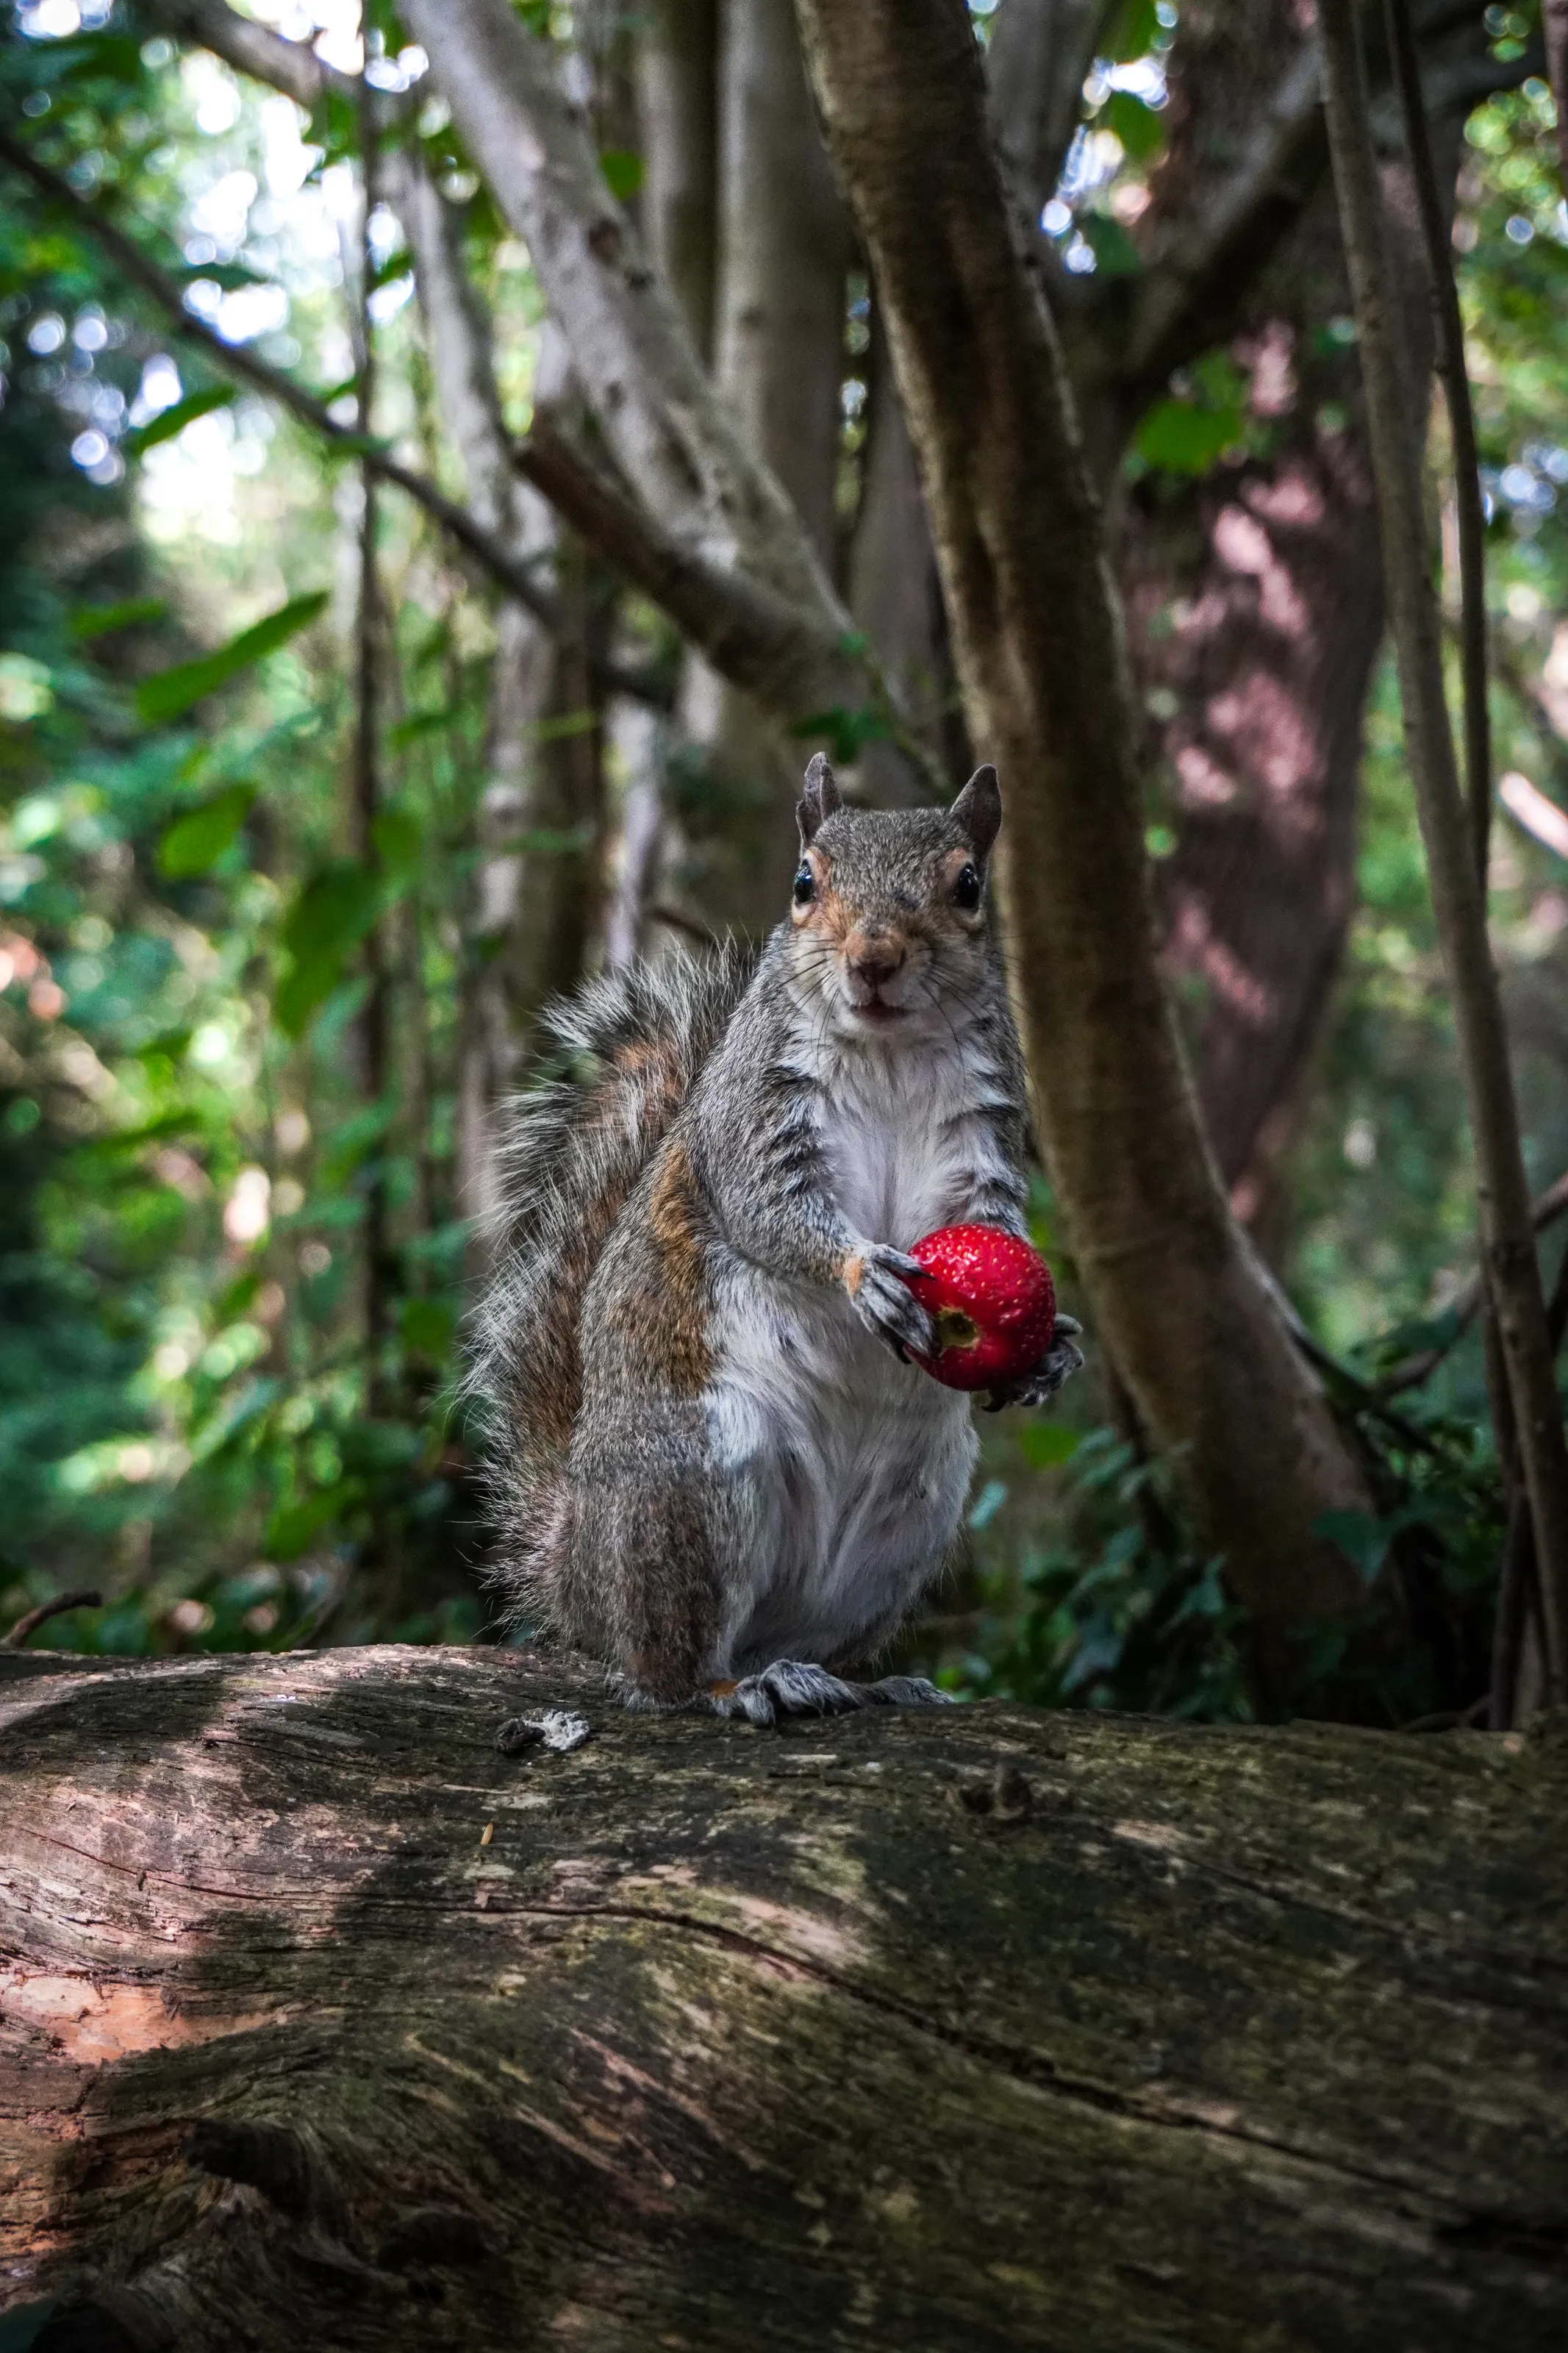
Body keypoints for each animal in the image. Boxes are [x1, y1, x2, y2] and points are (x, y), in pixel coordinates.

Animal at [472, 755, 1085, 1726]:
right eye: (804, 883)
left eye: (968, 885)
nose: (874, 960)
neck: (890, 1049)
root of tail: (581, 1573)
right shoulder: (752, 1117)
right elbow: (766, 1208)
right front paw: (865, 1274)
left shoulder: (986, 1137)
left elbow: (996, 1229)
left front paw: (1051, 1349)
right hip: (694, 1489)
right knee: (671, 1671)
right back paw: (739, 1684)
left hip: (911, 1518)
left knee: (800, 1635)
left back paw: (866, 1680)